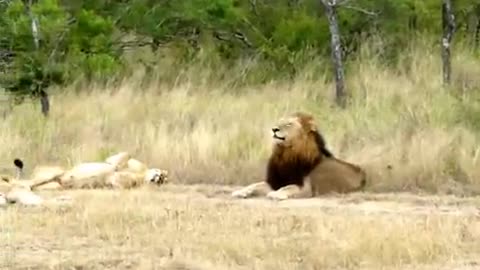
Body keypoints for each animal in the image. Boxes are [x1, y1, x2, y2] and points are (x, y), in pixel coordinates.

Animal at [231, 112, 366, 200]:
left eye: (289, 124)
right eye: (279, 121)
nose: (274, 129)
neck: (285, 153)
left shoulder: (306, 188)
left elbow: (289, 187)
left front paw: (276, 194)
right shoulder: (274, 182)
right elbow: (255, 184)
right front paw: (240, 191)